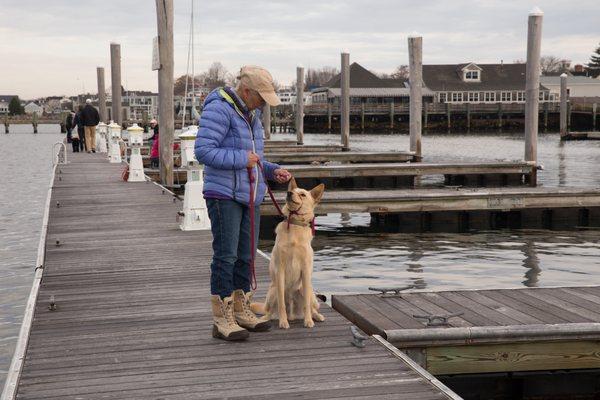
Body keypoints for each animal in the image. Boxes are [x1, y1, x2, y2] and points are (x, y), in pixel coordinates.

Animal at [254, 178, 328, 328]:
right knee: (270, 311)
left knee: (311, 307)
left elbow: (306, 305)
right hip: (272, 292)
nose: (288, 193)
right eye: (292, 191)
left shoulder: (305, 271)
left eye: (302, 194)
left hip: (308, 292)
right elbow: (281, 304)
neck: (294, 224)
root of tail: (293, 315)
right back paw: (266, 318)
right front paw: (283, 322)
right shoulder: (280, 270)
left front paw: (308, 321)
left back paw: (316, 316)